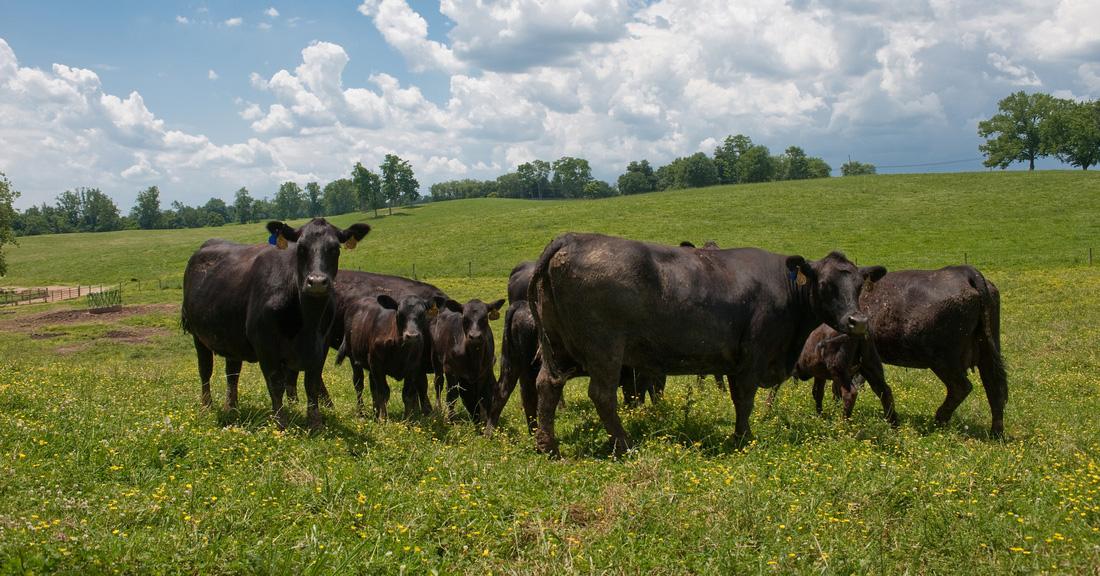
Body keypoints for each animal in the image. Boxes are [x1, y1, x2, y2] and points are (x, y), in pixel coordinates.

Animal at [180, 218, 369, 428]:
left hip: (232, 337)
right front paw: (281, 423)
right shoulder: (265, 345)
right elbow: (276, 384)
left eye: (335, 248)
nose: (317, 282)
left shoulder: (322, 345)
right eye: (300, 248)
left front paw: (315, 423)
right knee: (205, 370)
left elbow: (312, 384)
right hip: (198, 335)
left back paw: (232, 408)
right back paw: (206, 406)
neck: (307, 325)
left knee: (232, 372)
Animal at [528, 233, 888, 455]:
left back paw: (548, 446)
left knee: (547, 385)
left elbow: (737, 397)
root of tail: (574, 237)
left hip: (558, 346)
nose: (858, 321)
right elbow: (745, 399)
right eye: (825, 284)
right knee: (602, 395)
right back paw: (624, 444)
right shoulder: (753, 356)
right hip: (605, 349)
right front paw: (743, 438)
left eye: (860, 284)